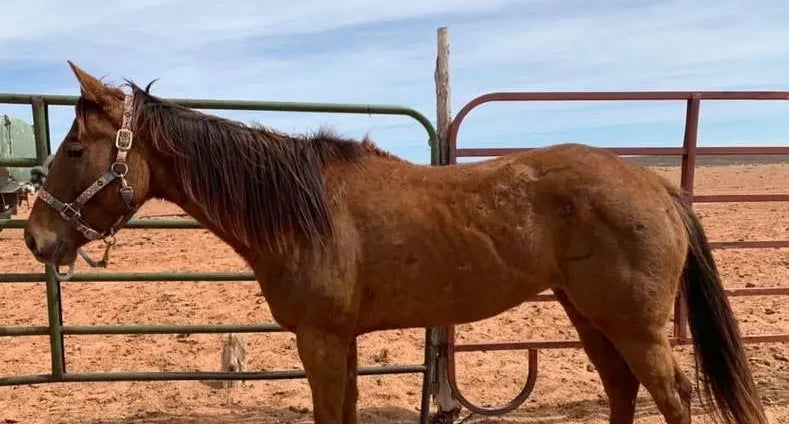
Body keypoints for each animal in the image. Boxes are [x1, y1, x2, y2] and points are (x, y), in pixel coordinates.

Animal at [23, 62, 767, 424]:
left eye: (76, 148)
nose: (35, 238)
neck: (304, 208)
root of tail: (655, 185)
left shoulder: (321, 339)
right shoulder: (341, 340)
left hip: (633, 324)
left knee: (671, 397)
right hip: (589, 315)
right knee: (621, 391)